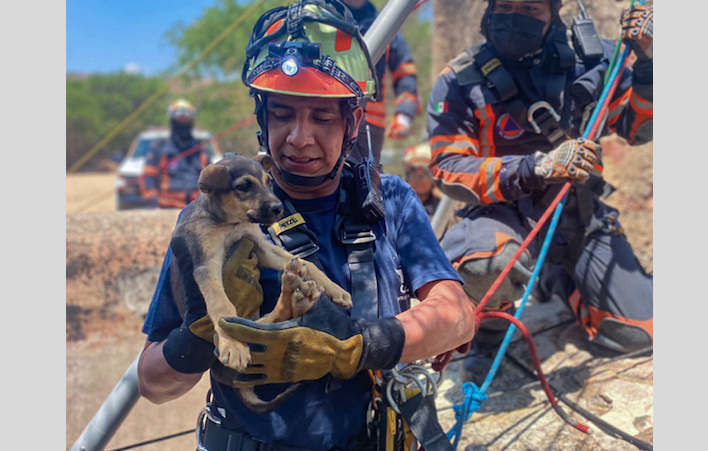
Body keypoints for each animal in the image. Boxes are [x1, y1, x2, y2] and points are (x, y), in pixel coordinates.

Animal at [169, 154, 352, 414]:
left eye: (268, 182)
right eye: (244, 186)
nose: (278, 208)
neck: (230, 224)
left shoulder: (260, 247)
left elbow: (309, 265)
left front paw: (336, 289)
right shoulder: (206, 265)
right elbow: (222, 307)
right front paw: (233, 345)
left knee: (269, 326)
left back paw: (297, 295)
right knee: (253, 328)